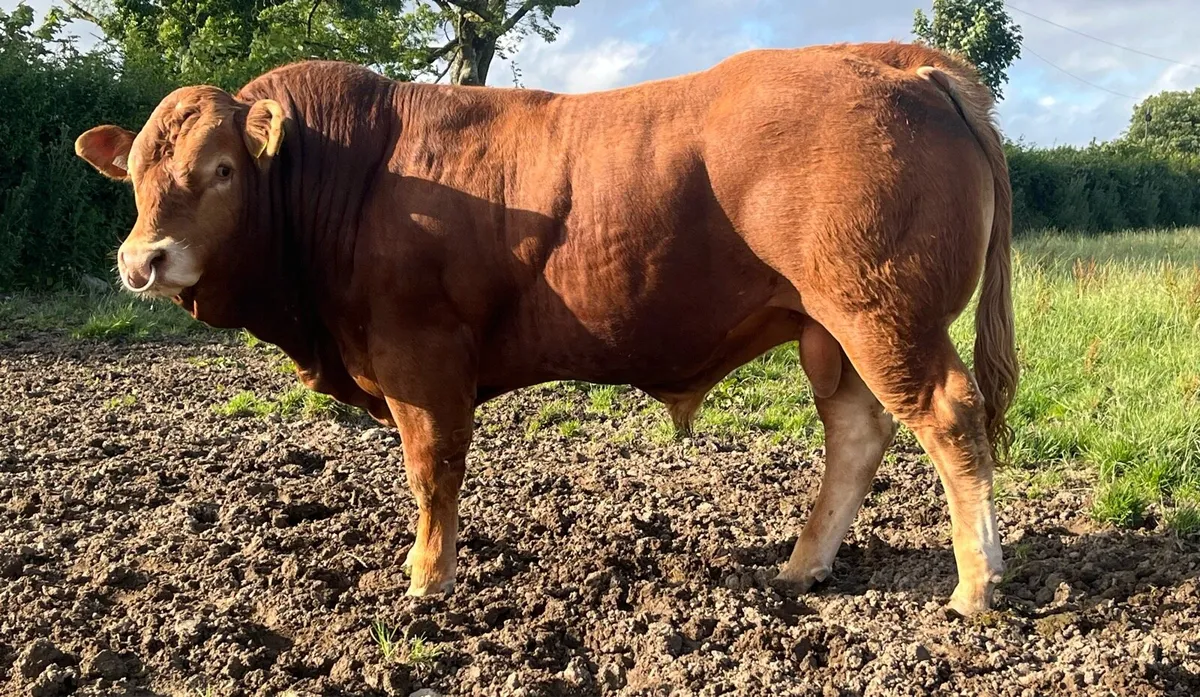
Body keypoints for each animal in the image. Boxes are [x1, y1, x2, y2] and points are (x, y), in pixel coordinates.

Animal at [74, 41, 1018, 618]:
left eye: (221, 170)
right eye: (135, 174)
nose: (141, 260)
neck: (354, 173)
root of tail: (896, 58)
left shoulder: (421, 355)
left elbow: (432, 471)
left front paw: (426, 579)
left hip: (881, 315)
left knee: (949, 416)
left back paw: (975, 585)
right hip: (827, 325)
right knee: (857, 431)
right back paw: (801, 564)